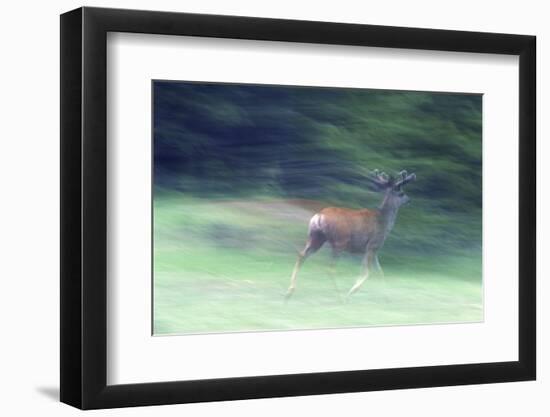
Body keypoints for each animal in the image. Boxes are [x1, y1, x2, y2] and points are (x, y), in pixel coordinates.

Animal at [286, 169, 416, 300]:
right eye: (401, 193)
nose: (409, 200)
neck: (383, 221)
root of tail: (319, 216)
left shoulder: (373, 251)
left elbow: (380, 272)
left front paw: (387, 295)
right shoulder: (373, 245)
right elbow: (367, 271)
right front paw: (352, 291)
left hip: (316, 237)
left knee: (301, 255)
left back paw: (290, 291)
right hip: (340, 241)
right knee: (330, 268)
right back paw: (341, 297)